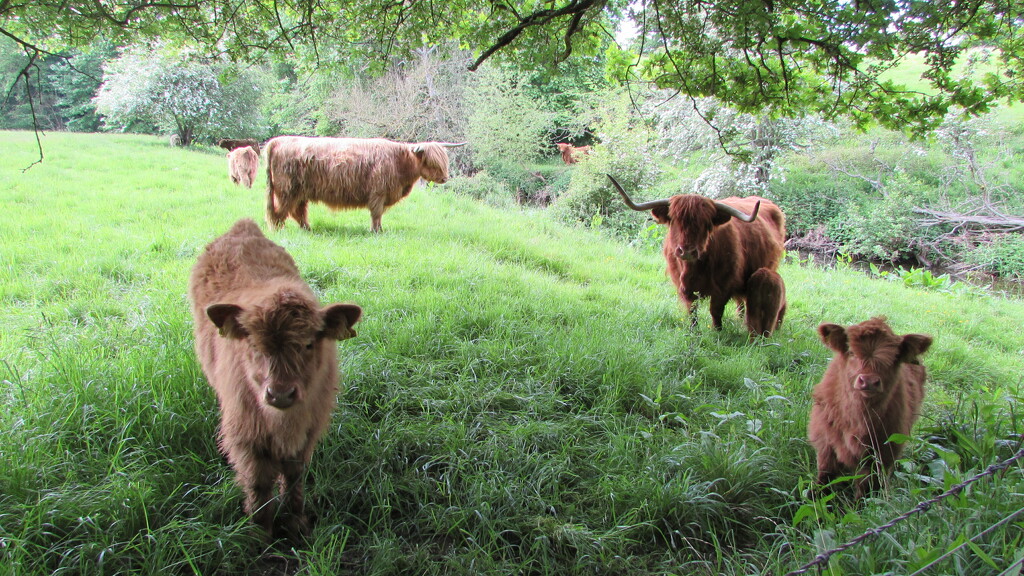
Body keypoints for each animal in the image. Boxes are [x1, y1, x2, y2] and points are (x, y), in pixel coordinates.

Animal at [189, 217, 364, 541]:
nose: (280, 394)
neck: (284, 423)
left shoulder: (308, 431)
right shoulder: (245, 435)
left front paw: (296, 524)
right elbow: (258, 485)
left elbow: (294, 479)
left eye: (308, 344)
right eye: (255, 346)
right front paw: (260, 534)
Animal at [606, 172, 782, 332]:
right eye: (675, 220)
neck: (694, 269)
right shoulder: (684, 286)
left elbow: (716, 310)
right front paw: (694, 331)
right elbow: (692, 311)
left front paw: (717, 331)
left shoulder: (724, 286)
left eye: (706, 224)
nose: (687, 251)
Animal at [806, 315, 937, 496]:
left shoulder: (883, 454)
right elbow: (825, 477)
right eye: (852, 352)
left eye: (894, 358)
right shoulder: (826, 442)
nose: (868, 381)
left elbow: (866, 488)